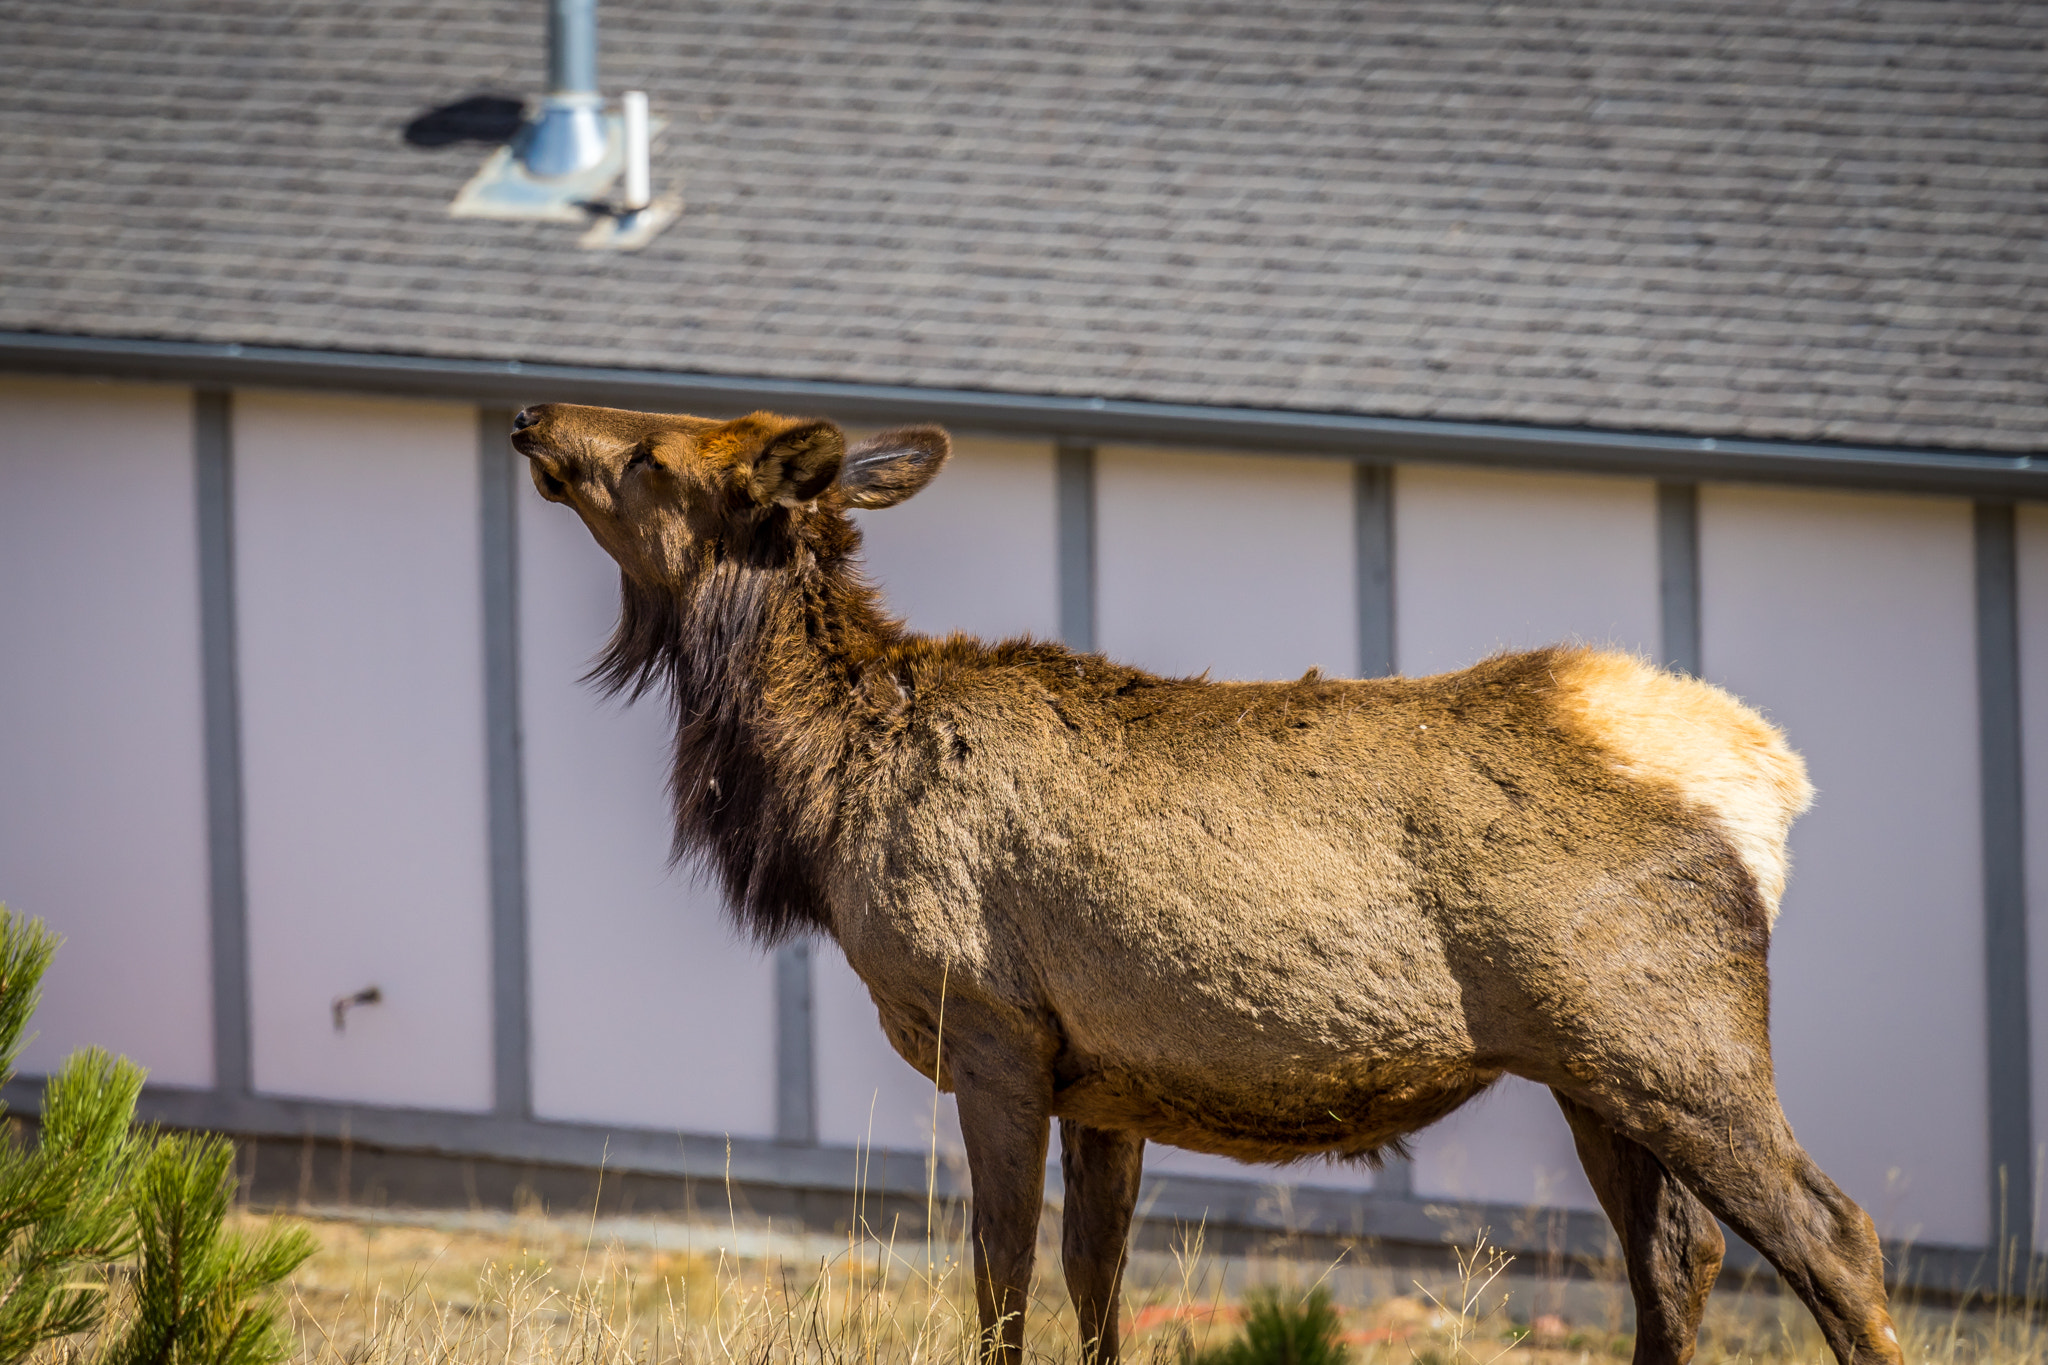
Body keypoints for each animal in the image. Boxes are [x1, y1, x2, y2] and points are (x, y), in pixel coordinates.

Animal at [512, 403, 1900, 1365]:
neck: (820, 797)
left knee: (1829, 1236)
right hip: (1588, 1067)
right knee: (1676, 1255)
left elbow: (1000, 1287)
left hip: (1667, 1033)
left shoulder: (993, 1029)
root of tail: (1767, 776)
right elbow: (1095, 1285)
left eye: (654, 458)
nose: (532, 418)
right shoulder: (1102, 1076)